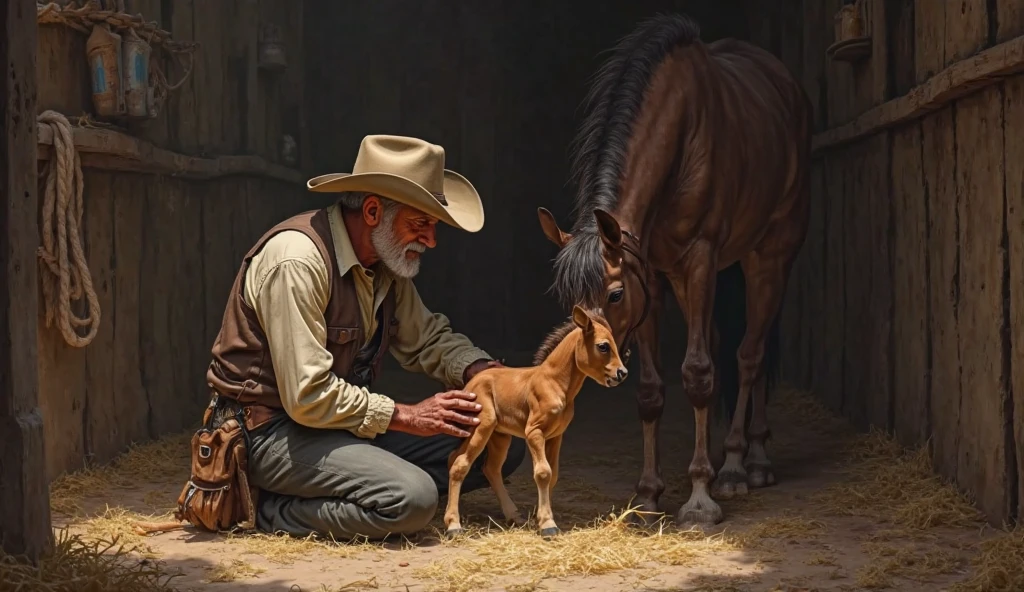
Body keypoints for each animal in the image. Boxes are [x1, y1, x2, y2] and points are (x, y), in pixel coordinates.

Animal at [443, 305, 628, 538]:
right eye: (603, 346)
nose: (622, 373)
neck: (555, 384)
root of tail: (469, 384)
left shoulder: (556, 436)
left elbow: (553, 474)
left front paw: (538, 517)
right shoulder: (534, 432)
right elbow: (543, 472)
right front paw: (548, 524)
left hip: (499, 435)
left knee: (486, 467)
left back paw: (513, 515)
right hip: (482, 426)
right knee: (460, 463)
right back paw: (453, 525)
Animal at [535, 13, 812, 528]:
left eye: (614, 294)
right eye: (569, 301)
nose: (595, 358)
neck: (681, 131)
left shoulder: (696, 261)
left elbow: (698, 374)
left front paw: (700, 496)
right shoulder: (652, 279)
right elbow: (651, 390)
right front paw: (648, 495)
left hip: (770, 256)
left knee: (751, 354)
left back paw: (745, 464)